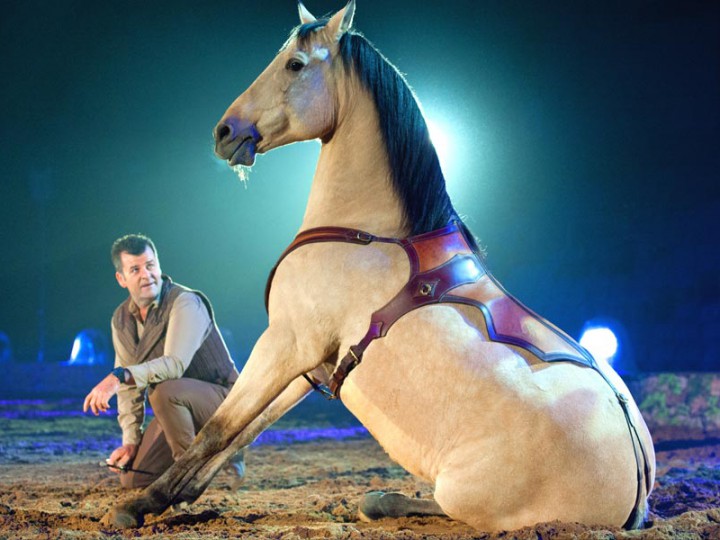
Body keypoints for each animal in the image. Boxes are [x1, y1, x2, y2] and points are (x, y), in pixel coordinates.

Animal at [105, 1, 652, 532]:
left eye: (295, 64)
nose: (225, 131)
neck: (365, 232)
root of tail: (639, 476)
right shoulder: (310, 364)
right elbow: (245, 430)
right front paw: (178, 496)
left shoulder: (284, 342)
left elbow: (219, 428)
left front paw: (139, 504)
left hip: (468, 496)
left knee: (426, 505)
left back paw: (381, 499)